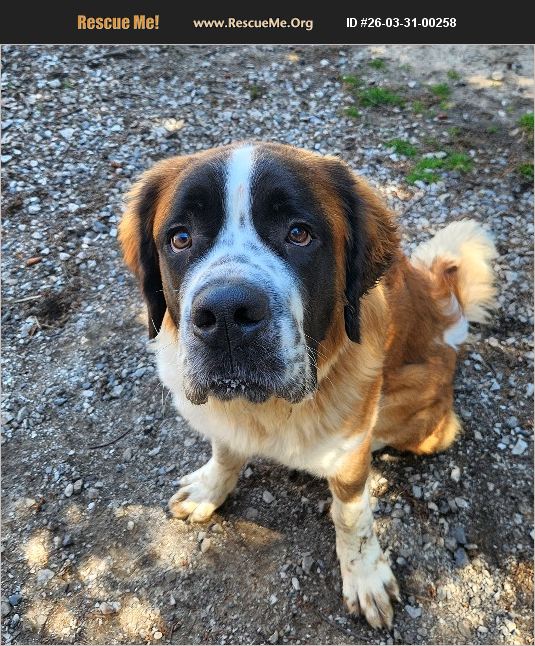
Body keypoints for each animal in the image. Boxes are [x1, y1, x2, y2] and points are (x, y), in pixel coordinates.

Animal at [119, 141, 496, 629]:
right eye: (180, 238)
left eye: (299, 234)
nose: (226, 314)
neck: (267, 408)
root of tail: (446, 317)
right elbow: (225, 449)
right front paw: (211, 488)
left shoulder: (350, 454)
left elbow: (352, 517)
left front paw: (365, 576)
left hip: (425, 420)